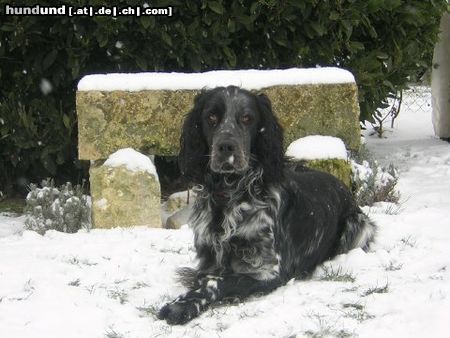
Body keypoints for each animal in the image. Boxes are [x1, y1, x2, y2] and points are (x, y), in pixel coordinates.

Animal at [158, 86, 376, 324]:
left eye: (247, 118)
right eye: (211, 117)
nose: (226, 146)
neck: (230, 194)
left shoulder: (269, 272)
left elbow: (218, 282)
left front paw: (181, 306)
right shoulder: (209, 259)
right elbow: (205, 277)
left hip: (360, 227)